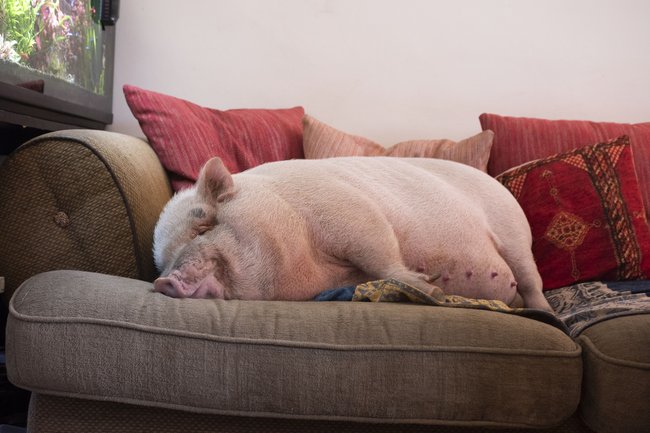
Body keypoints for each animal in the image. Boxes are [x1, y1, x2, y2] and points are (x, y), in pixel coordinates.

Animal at [153, 156, 553, 312]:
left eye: (204, 226)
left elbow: (383, 257)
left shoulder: (353, 213)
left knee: (532, 282)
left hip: (515, 235)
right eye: (164, 258)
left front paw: (430, 287)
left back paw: (548, 314)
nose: (163, 282)